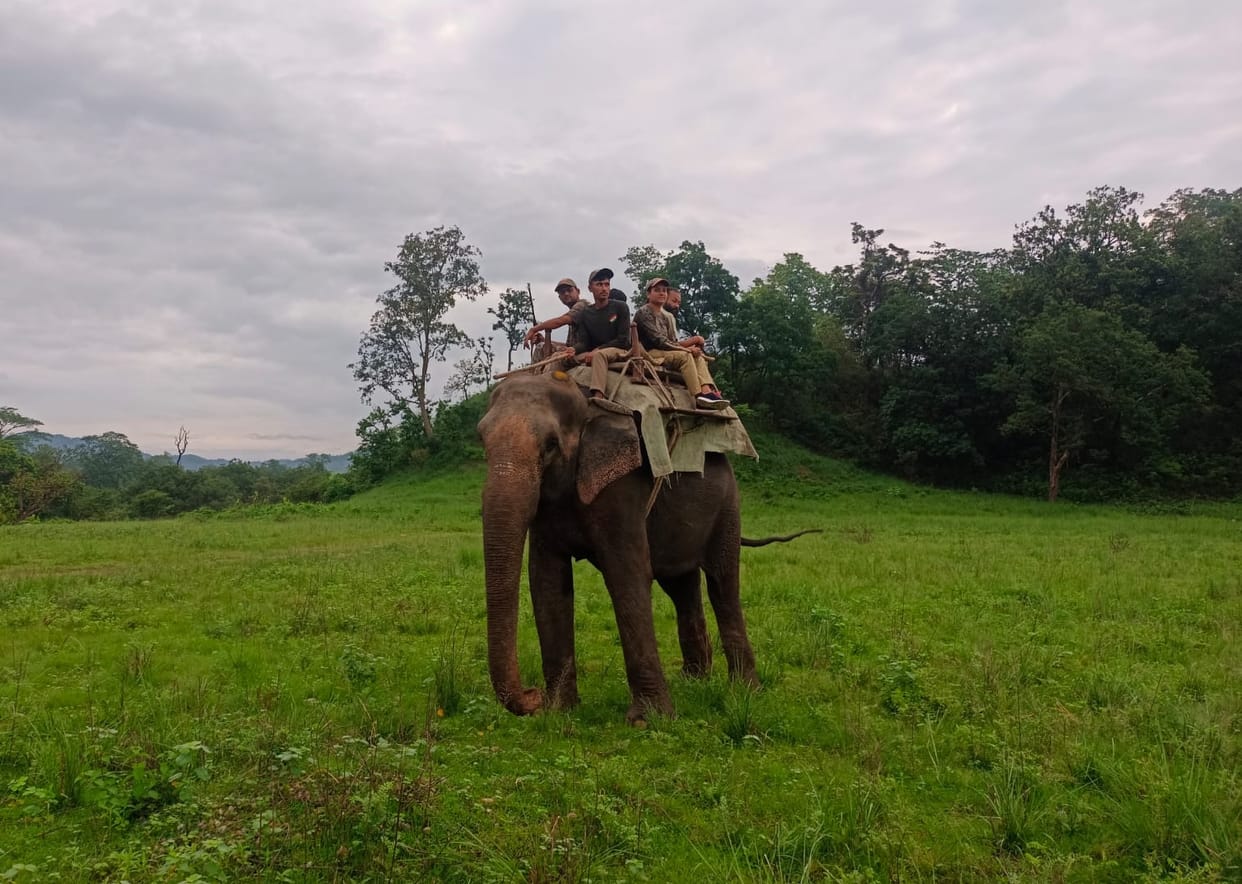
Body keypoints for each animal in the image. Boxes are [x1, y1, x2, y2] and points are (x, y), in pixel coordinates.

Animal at [477, 369, 810, 723]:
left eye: (551, 445)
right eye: (481, 440)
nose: (532, 695)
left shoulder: (623, 488)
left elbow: (626, 575)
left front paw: (646, 721)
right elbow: (547, 583)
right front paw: (559, 711)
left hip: (728, 505)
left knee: (722, 583)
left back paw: (745, 691)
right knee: (681, 587)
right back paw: (694, 681)